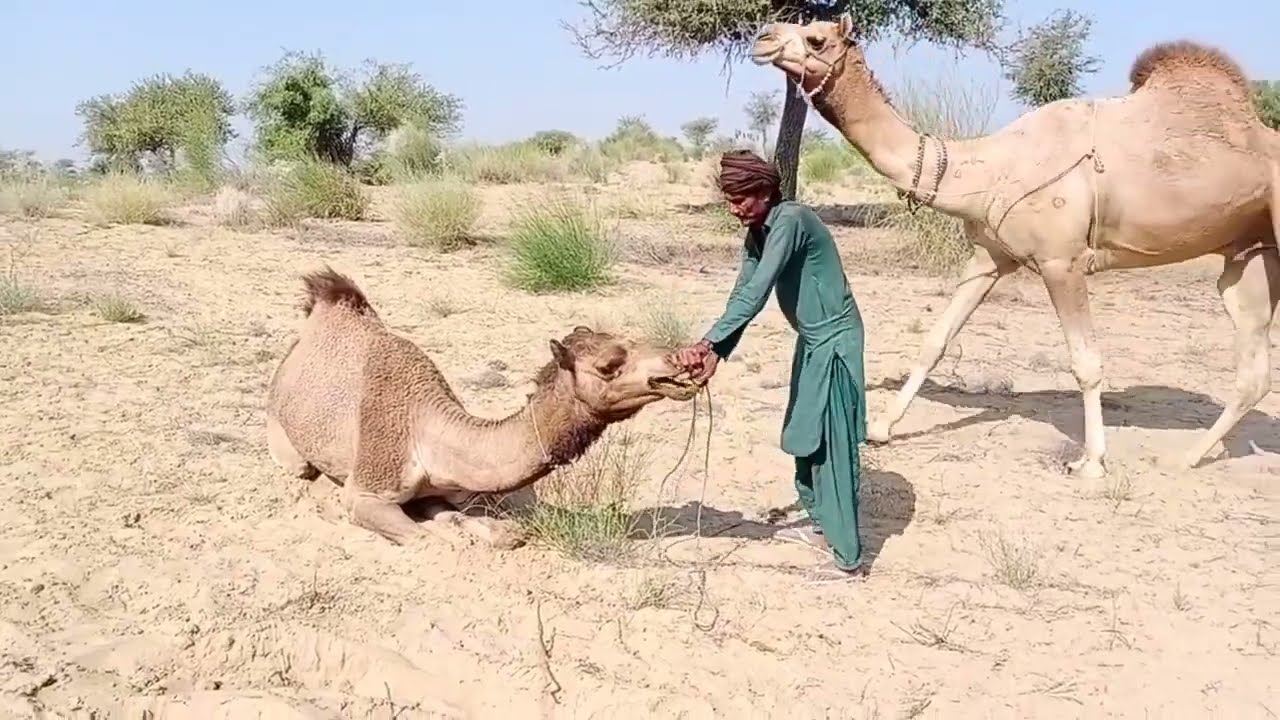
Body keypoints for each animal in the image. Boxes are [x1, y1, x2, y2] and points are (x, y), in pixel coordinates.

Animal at [265, 267, 704, 548]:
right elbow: (428, 539)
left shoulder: (461, 489)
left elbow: (488, 527)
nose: (678, 361)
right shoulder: (370, 489)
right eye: (610, 365)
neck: (428, 434)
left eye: (628, 340)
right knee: (301, 466)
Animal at [751, 14, 1280, 478]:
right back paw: (1187, 457)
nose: (763, 38)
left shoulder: (1061, 261)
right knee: (1252, 372)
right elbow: (935, 340)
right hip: (1249, 257)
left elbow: (1086, 364)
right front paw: (879, 428)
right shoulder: (990, 257)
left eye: (816, 39)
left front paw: (1091, 462)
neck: (991, 167)